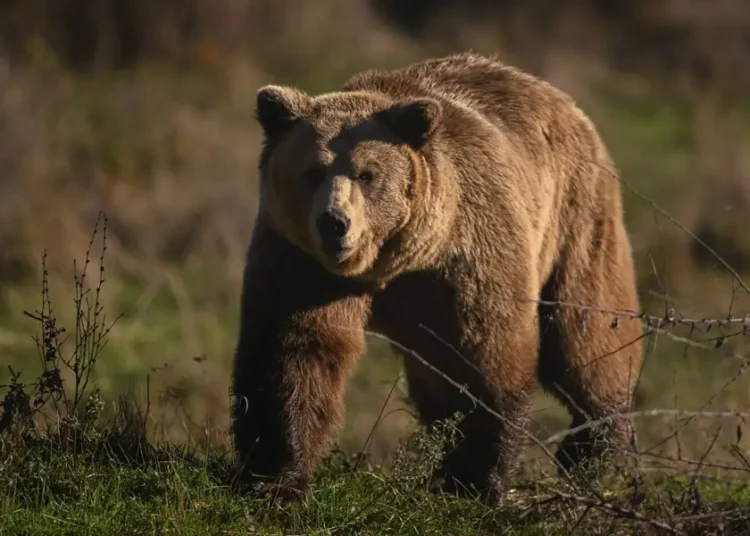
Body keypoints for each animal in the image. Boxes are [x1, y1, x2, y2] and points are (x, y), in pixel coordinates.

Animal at [231, 52, 644, 506]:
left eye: (366, 174)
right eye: (313, 171)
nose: (334, 223)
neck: (392, 263)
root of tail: (562, 100)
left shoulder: (466, 258)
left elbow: (486, 356)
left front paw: (475, 478)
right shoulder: (303, 263)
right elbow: (295, 352)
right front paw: (276, 475)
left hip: (575, 221)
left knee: (586, 336)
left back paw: (592, 450)